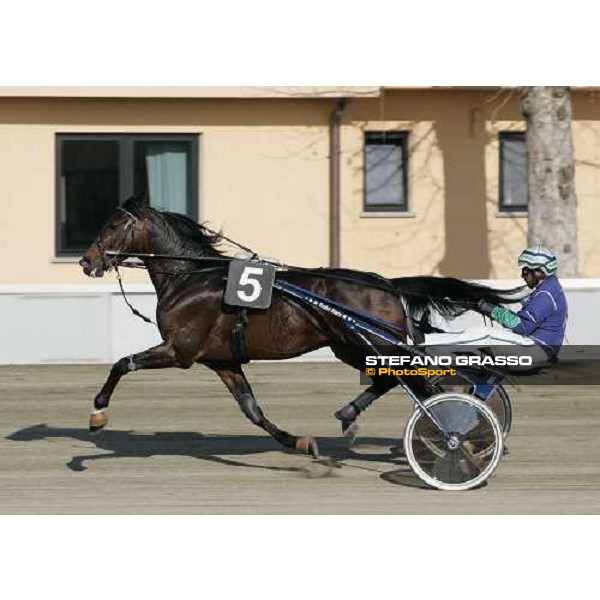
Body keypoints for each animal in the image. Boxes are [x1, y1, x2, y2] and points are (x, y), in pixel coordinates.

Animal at [79, 195, 524, 458]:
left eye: (113, 226)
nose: (86, 260)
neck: (191, 276)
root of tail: (384, 283)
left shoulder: (179, 350)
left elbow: (122, 363)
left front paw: (97, 414)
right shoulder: (222, 360)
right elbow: (253, 411)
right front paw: (299, 441)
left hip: (367, 344)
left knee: (416, 386)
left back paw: (452, 434)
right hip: (353, 346)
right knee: (391, 382)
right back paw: (352, 415)